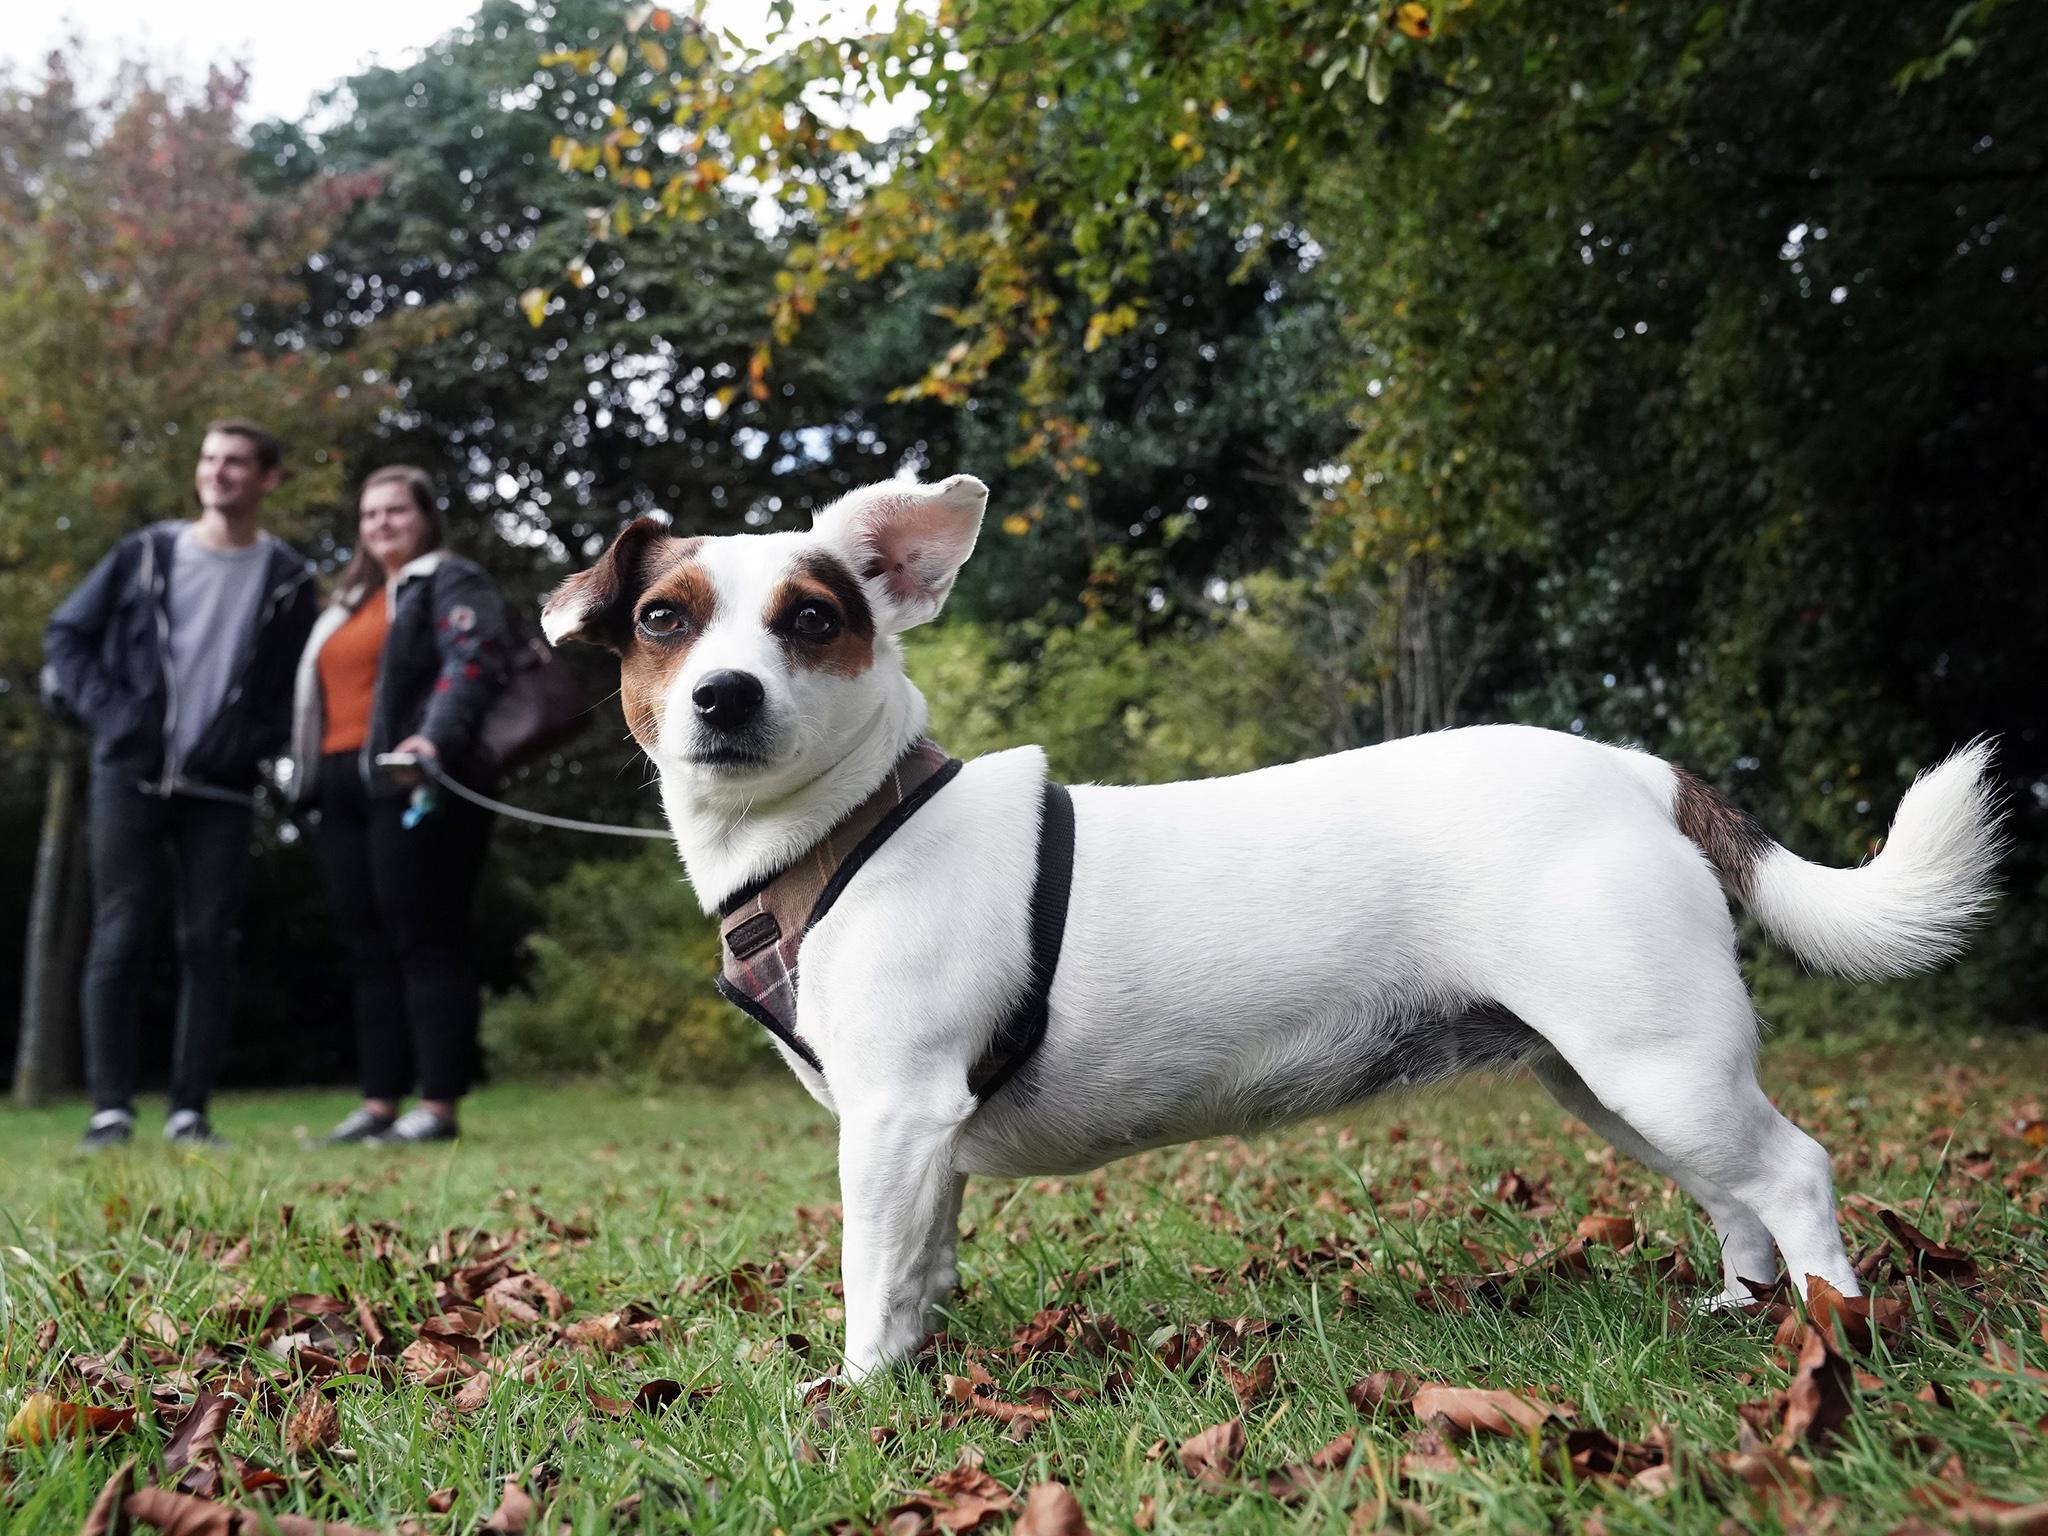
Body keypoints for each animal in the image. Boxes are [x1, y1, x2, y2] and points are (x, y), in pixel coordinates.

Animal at [540, 475, 1998, 1376]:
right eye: (663, 620)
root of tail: (1637, 770)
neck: (851, 829)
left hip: (1658, 1064)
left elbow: (868, 1278)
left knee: (1792, 1174)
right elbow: (921, 1267)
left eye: (811, 620)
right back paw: (1743, 1313)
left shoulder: (896, 1117)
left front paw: (861, 1395)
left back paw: (1834, 1333)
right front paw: (918, 1360)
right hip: (1614, 1079)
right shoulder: (925, 1142)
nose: (725, 697)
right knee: (1732, 1196)